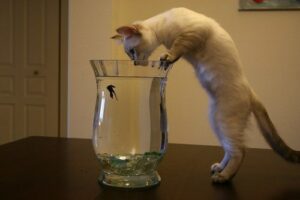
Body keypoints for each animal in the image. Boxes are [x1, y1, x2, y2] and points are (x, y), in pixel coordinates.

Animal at [110, 7, 300, 183]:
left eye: (131, 52)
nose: (135, 63)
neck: (164, 32)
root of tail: (250, 92)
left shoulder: (192, 33)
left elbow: (177, 47)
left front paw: (167, 57)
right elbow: (177, 51)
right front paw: (166, 60)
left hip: (225, 121)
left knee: (239, 151)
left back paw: (223, 177)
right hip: (215, 121)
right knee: (229, 149)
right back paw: (219, 168)